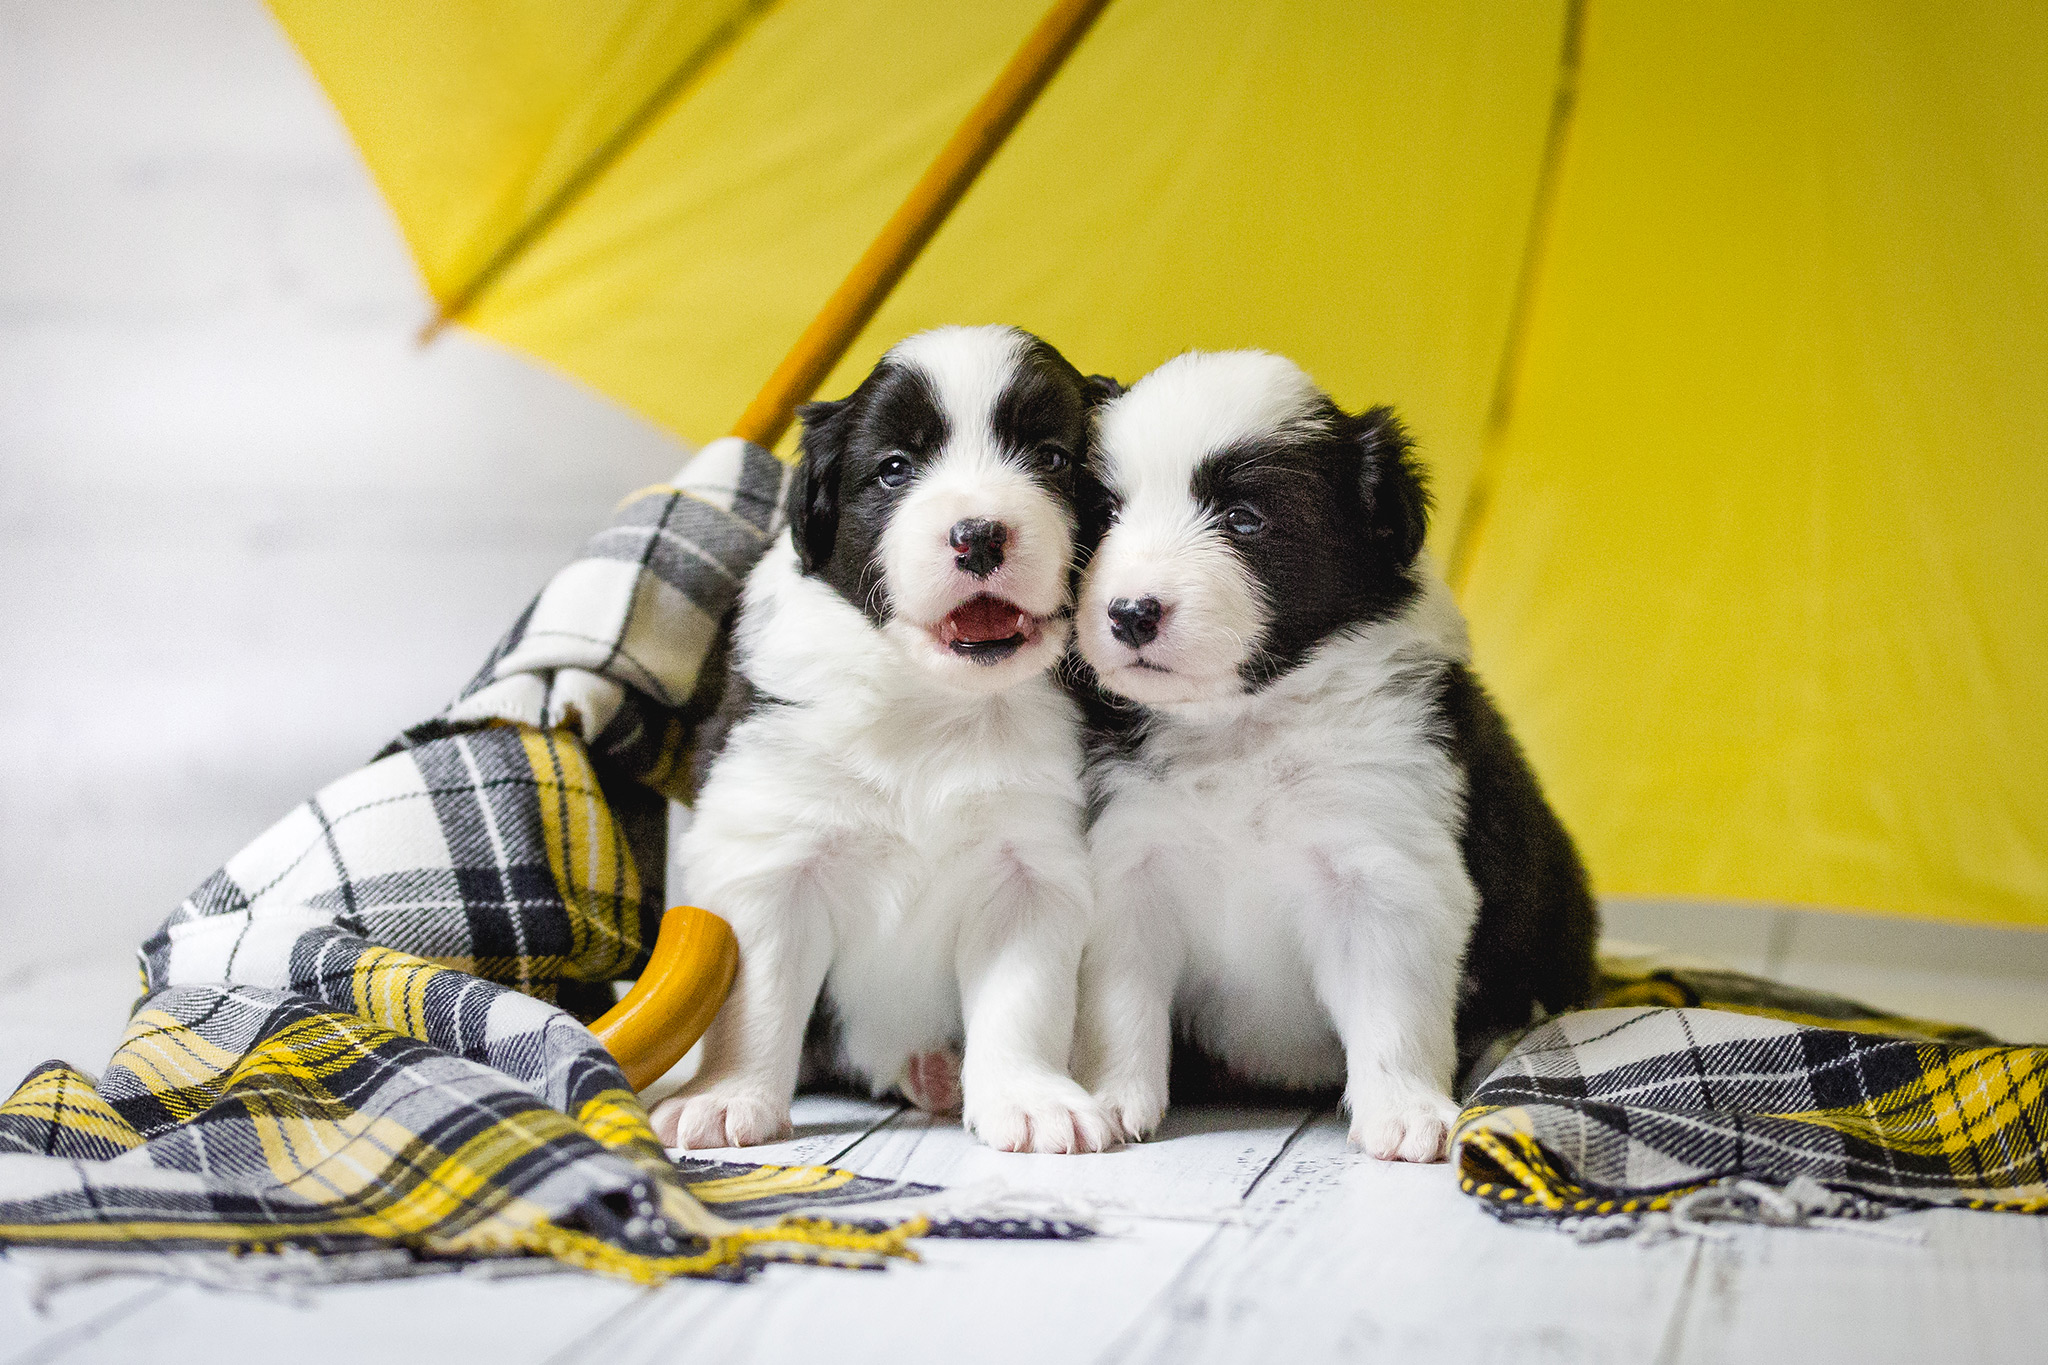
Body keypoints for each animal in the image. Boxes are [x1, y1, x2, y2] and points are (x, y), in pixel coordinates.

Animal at [655, 325, 1122, 1162]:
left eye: (1053, 457)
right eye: (895, 468)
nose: (979, 534)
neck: (936, 705)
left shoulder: (1033, 868)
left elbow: (1024, 998)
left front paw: (1033, 1100)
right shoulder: (771, 850)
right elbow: (755, 995)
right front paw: (725, 1096)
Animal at [1073, 347, 1597, 1162]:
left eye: (1245, 518)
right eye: (1105, 515)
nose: (1129, 613)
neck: (1243, 724)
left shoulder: (1384, 872)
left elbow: (1393, 1011)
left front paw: (1406, 1111)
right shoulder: (1130, 867)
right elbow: (1120, 1004)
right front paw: (1104, 1096)